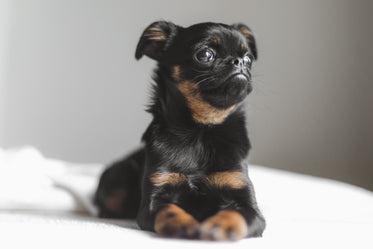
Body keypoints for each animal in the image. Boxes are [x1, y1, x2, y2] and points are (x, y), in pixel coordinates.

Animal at [94, 21, 266, 241]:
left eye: (249, 59)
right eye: (205, 54)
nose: (239, 62)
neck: (201, 130)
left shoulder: (247, 204)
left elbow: (235, 213)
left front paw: (218, 226)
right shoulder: (155, 200)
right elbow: (169, 210)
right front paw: (185, 225)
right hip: (121, 173)